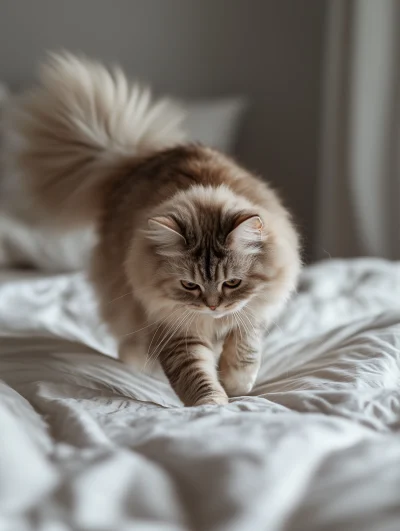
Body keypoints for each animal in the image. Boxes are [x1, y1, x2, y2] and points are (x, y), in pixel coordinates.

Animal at [3, 52, 300, 406]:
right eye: (189, 286)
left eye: (232, 283)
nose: (212, 306)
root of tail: (134, 160)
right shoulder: (173, 329)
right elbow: (197, 376)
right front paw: (212, 406)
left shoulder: (257, 311)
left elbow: (245, 346)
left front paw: (237, 385)